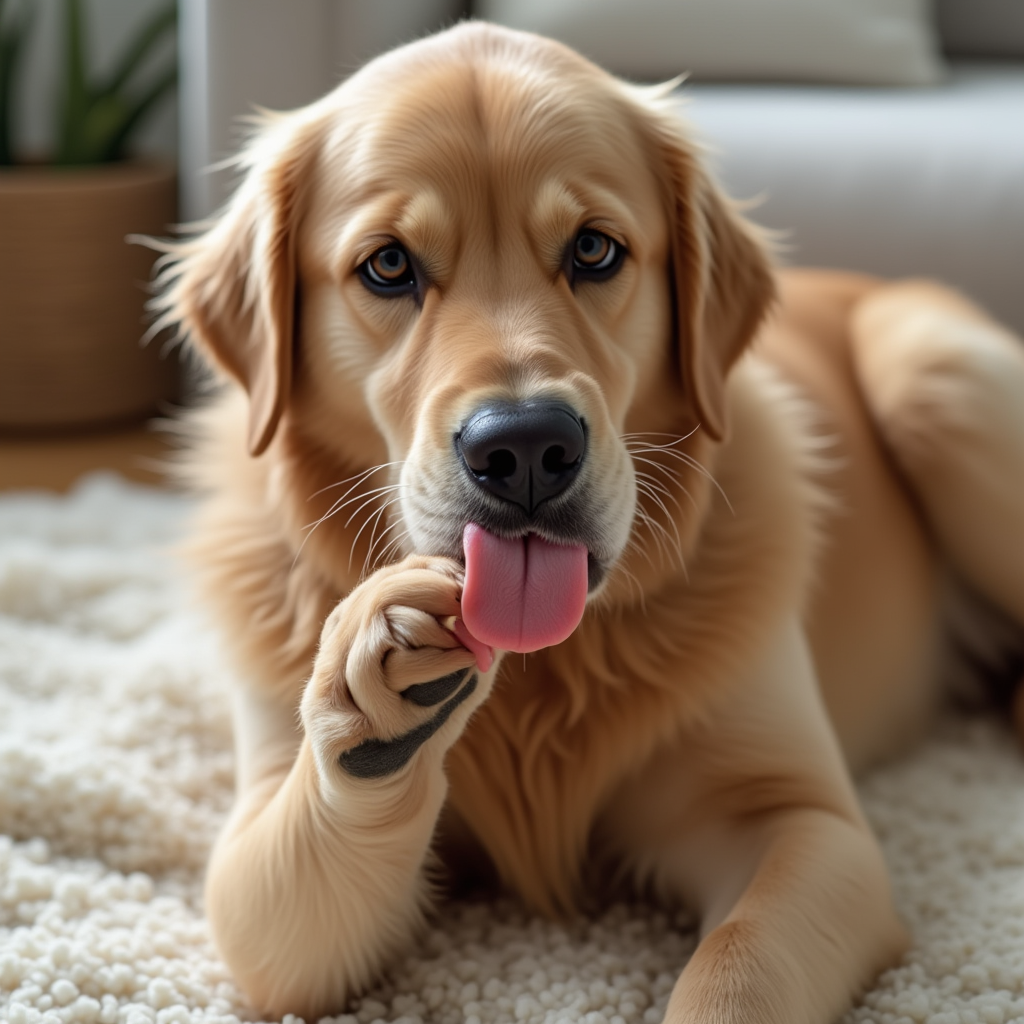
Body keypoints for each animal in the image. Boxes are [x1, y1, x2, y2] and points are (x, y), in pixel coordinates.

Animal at [155, 24, 1024, 1024]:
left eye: (596, 250)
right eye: (388, 265)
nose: (525, 447)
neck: (545, 675)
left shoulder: (800, 820)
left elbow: (739, 966)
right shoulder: (262, 885)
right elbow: (298, 888)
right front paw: (378, 689)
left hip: (936, 373)